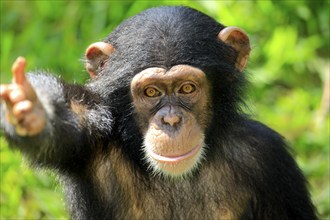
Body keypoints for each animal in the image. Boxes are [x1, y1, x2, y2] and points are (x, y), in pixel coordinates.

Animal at [1, 5, 318, 220]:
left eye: (187, 88)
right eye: (151, 92)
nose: (171, 120)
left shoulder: (267, 157)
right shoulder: (90, 134)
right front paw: (32, 108)